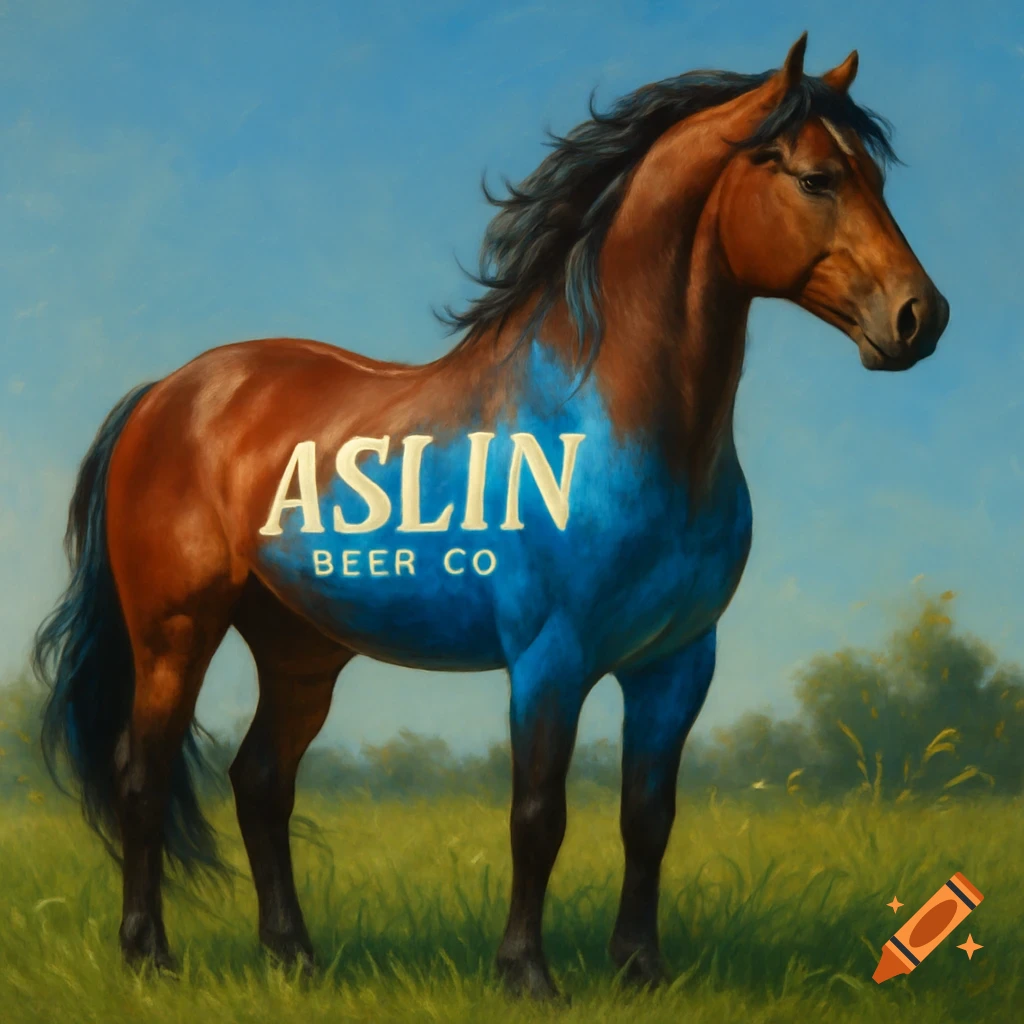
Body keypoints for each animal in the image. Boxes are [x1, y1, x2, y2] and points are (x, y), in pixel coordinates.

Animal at [33, 33, 948, 1000]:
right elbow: (538, 815)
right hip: (175, 633)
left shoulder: (676, 663)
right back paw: (149, 956)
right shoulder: (550, 657)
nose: (919, 318)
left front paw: (642, 968)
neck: (608, 419)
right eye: (816, 178)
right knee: (143, 775)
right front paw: (527, 974)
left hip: (300, 649)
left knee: (262, 781)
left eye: (876, 178)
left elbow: (648, 815)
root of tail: (167, 393)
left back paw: (294, 956)